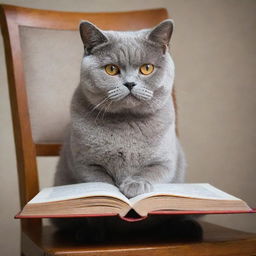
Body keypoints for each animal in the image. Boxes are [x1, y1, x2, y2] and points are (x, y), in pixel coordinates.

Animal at [53, 19, 202, 240]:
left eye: (147, 68)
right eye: (111, 69)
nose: (130, 83)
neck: (127, 122)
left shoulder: (166, 162)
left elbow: (150, 171)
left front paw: (134, 185)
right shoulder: (86, 164)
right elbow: (99, 191)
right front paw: (99, 221)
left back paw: (186, 228)